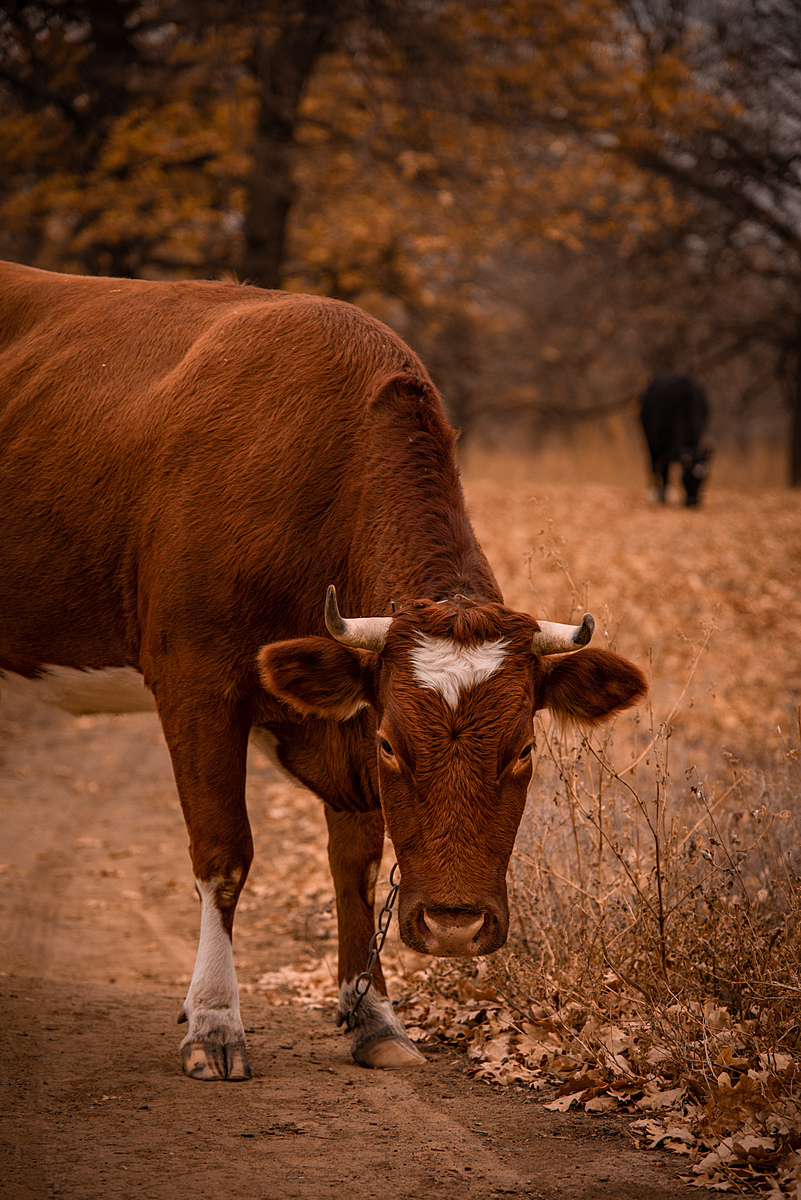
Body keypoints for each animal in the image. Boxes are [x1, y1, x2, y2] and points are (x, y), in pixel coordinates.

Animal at [0, 260, 642, 1080]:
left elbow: (357, 862)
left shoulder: (343, 712)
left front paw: (373, 1016)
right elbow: (224, 854)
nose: (455, 926)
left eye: (525, 749)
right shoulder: (194, 682)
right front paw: (214, 1022)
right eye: (395, 746)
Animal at [637, 374, 714, 506]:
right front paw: (657, 495)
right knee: (654, 465)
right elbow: (659, 467)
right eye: (686, 476)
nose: (693, 501)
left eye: (703, 480)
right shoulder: (655, 442)